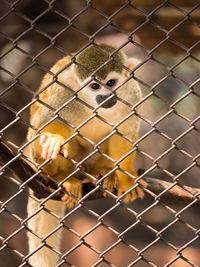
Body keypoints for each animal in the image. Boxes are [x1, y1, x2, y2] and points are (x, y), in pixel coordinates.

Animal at [25, 45, 144, 266]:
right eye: (95, 86)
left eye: (111, 83)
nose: (105, 97)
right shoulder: (63, 93)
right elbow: (44, 122)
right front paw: (53, 138)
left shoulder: (132, 93)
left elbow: (123, 133)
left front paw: (125, 178)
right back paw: (63, 177)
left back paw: (103, 172)